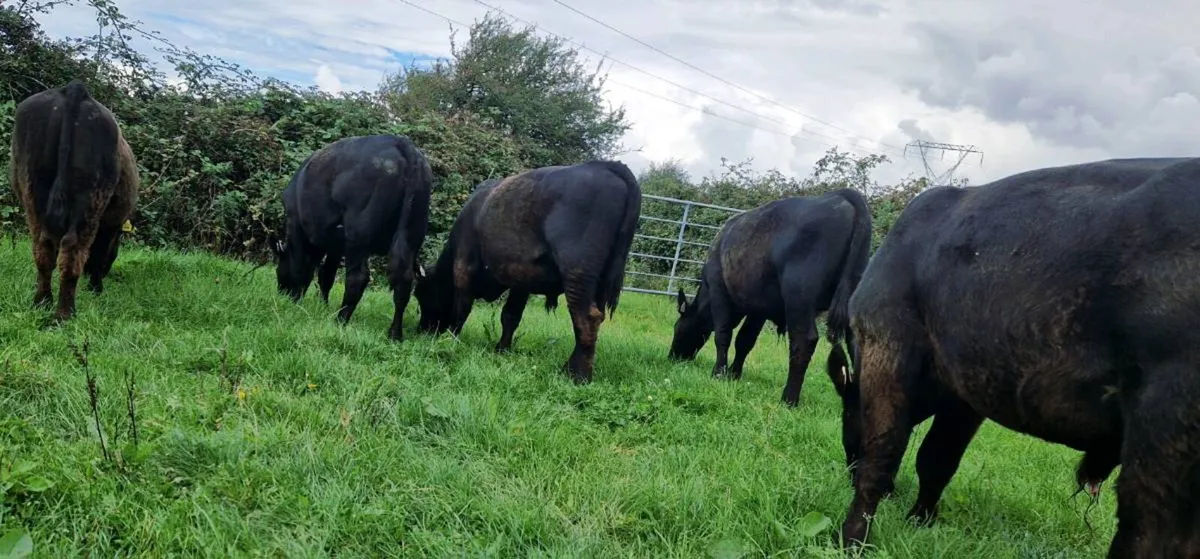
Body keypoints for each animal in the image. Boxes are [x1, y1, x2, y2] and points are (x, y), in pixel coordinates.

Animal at [9, 79, 139, 322]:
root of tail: (74, 90)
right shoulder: (110, 226)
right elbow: (98, 254)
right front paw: (96, 288)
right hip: (91, 199)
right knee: (73, 250)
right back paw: (65, 314)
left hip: (33, 192)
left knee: (44, 249)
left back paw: (42, 303)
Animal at [273, 134, 432, 341]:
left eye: (278, 270)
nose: (281, 294)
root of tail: (402, 144)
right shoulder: (334, 245)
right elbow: (326, 275)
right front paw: (322, 306)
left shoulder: (296, 228)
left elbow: (301, 270)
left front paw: (296, 302)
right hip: (411, 234)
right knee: (403, 279)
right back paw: (394, 334)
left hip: (358, 237)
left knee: (358, 278)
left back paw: (340, 320)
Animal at [413, 160, 642, 384]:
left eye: (421, 294)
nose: (422, 330)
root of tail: (606, 166)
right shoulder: (520, 281)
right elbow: (510, 316)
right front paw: (502, 349)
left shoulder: (463, 267)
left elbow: (461, 310)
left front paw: (450, 341)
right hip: (599, 283)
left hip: (578, 273)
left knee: (586, 318)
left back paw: (578, 376)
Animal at [668, 188, 872, 408]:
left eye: (677, 328)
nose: (672, 356)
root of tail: (841, 195)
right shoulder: (758, 309)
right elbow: (745, 340)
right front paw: (734, 374)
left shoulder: (718, 291)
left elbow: (723, 334)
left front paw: (719, 373)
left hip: (798, 296)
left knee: (803, 340)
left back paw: (789, 399)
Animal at [836, 157, 1200, 558]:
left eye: (846, 413)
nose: (846, 467)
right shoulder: (964, 391)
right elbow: (937, 459)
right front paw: (920, 522)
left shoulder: (888, 339)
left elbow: (883, 453)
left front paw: (852, 539)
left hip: (1166, 417)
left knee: (1147, 531)